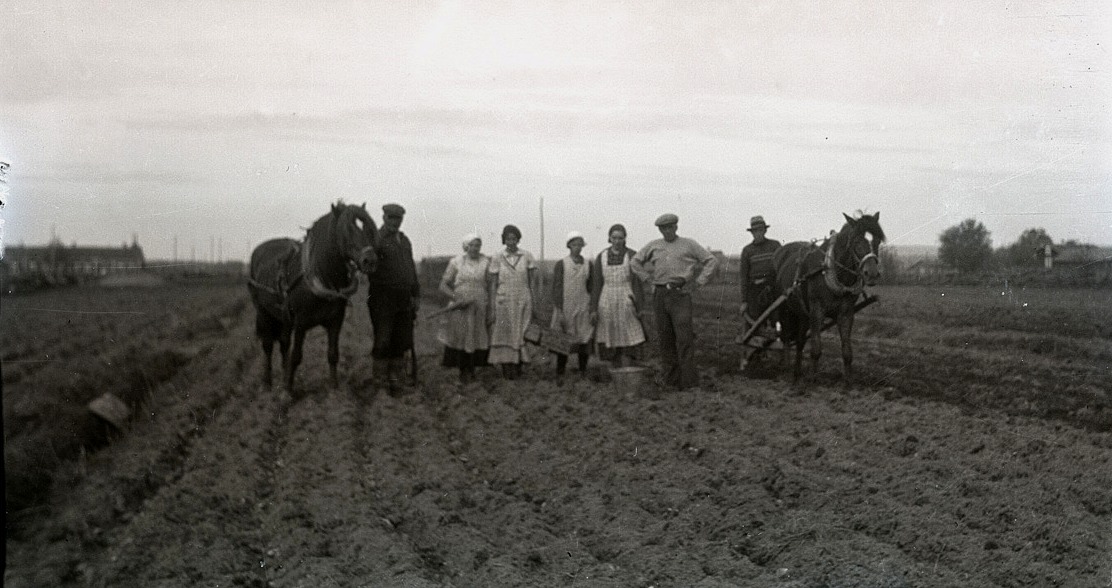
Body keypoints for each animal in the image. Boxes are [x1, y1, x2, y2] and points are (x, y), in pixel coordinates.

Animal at [247, 202, 378, 389]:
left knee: (284, 343)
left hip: (283, 317)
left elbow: (333, 354)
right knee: (268, 345)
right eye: (347, 230)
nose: (370, 261)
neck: (322, 275)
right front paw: (288, 390)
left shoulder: (335, 321)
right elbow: (296, 356)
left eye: (368, 228)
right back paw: (267, 382)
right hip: (263, 312)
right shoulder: (301, 323)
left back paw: (283, 376)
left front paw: (333, 388)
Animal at [773, 213, 885, 382]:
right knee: (786, 337)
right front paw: (813, 379)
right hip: (785, 308)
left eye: (877, 241)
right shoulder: (816, 311)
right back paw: (786, 366)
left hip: (802, 313)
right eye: (857, 241)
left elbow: (847, 352)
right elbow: (816, 349)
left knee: (800, 341)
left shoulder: (846, 313)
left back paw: (797, 371)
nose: (871, 274)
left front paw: (848, 382)